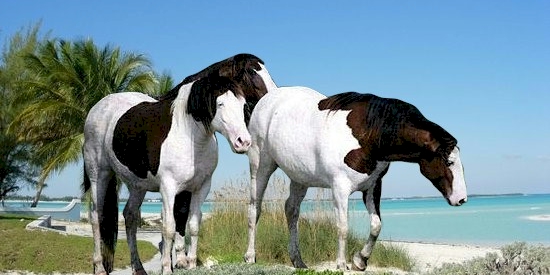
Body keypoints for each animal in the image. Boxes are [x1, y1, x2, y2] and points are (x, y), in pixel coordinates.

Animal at [82, 52, 276, 274]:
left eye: (242, 105)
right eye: (220, 104)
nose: (243, 142)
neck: (186, 132)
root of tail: (97, 108)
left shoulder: (200, 187)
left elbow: (192, 224)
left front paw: (189, 263)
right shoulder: (169, 188)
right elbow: (169, 227)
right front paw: (168, 267)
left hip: (138, 185)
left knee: (130, 216)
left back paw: (138, 268)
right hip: (99, 174)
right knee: (96, 217)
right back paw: (99, 267)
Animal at [244, 89, 468, 272]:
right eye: (449, 162)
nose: (462, 199)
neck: (369, 133)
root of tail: (267, 99)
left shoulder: (372, 187)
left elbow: (376, 225)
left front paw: (360, 260)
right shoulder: (339, 189)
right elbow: (343, 227)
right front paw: (341, 264)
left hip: (300, 178)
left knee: (291, 211)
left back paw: (297, 261)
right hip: (261, 167)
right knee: (255, 209)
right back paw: (250, 256)